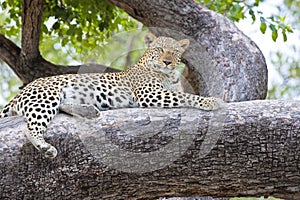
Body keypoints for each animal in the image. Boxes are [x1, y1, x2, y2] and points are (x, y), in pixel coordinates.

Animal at [0, 33, 223, 158]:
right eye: (159, 49)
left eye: (174, 52)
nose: (167, 61)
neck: (169, 74)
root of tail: (23, 90)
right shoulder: (150, 94)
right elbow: (186, 97)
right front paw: (211, 101)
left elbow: (183, 94)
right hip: (46, 97)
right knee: (30, 128)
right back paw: (46, 147)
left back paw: (89, 111)